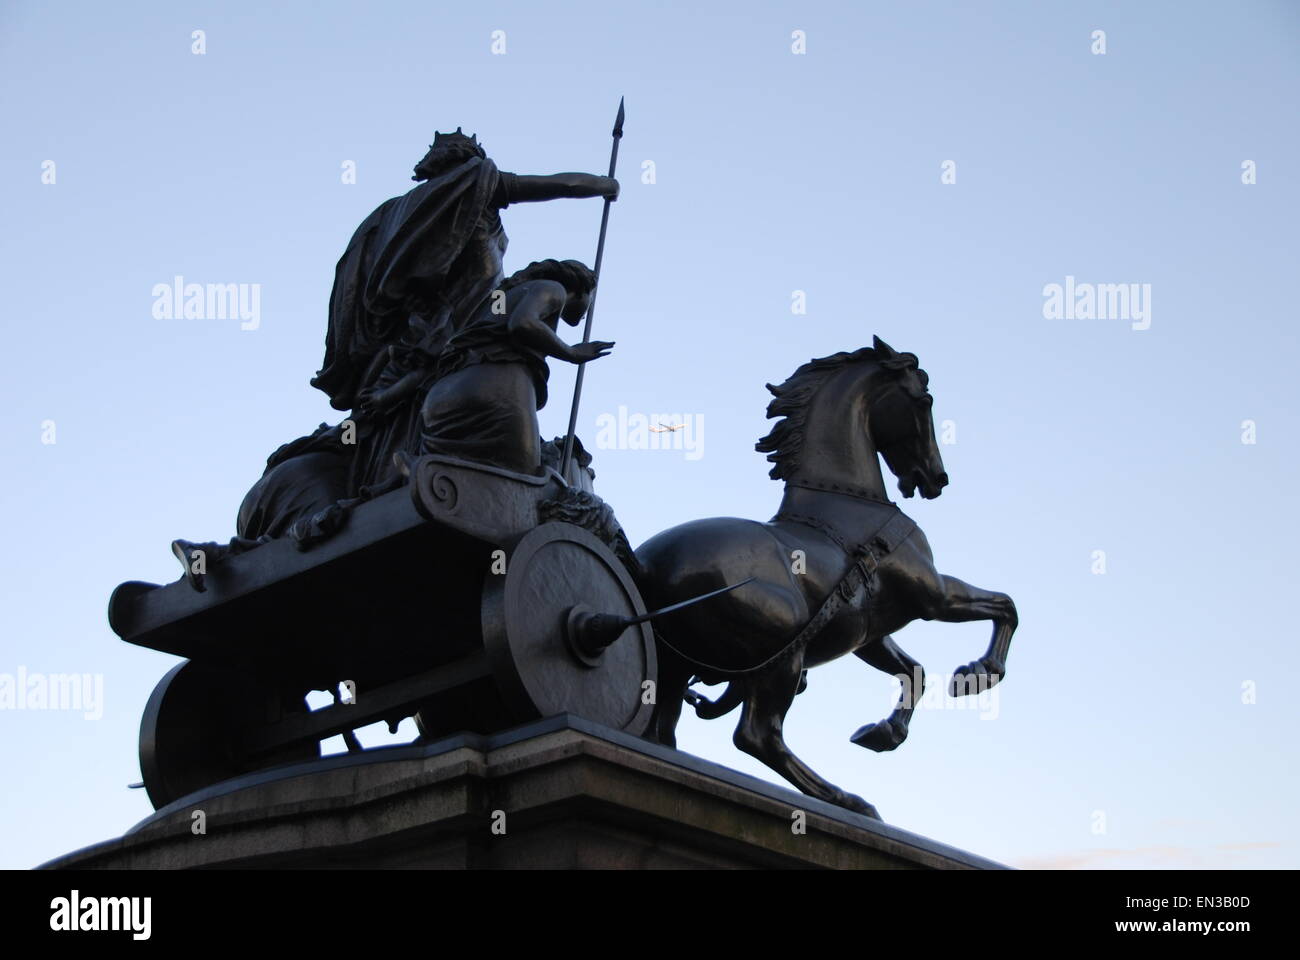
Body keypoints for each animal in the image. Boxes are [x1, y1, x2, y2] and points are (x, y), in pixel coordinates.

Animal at [634, 335, 1019, 816]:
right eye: (925, 399)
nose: (936, 478)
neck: (849, 503)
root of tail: (646, 564)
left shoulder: (868, 634)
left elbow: (914, 670)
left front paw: (882, 734)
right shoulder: (934, 597)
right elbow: (1005, 605)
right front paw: (980, 672)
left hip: (675, 666)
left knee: (663, 733)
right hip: (781, 654)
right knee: (757, 736)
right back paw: (847, 800)